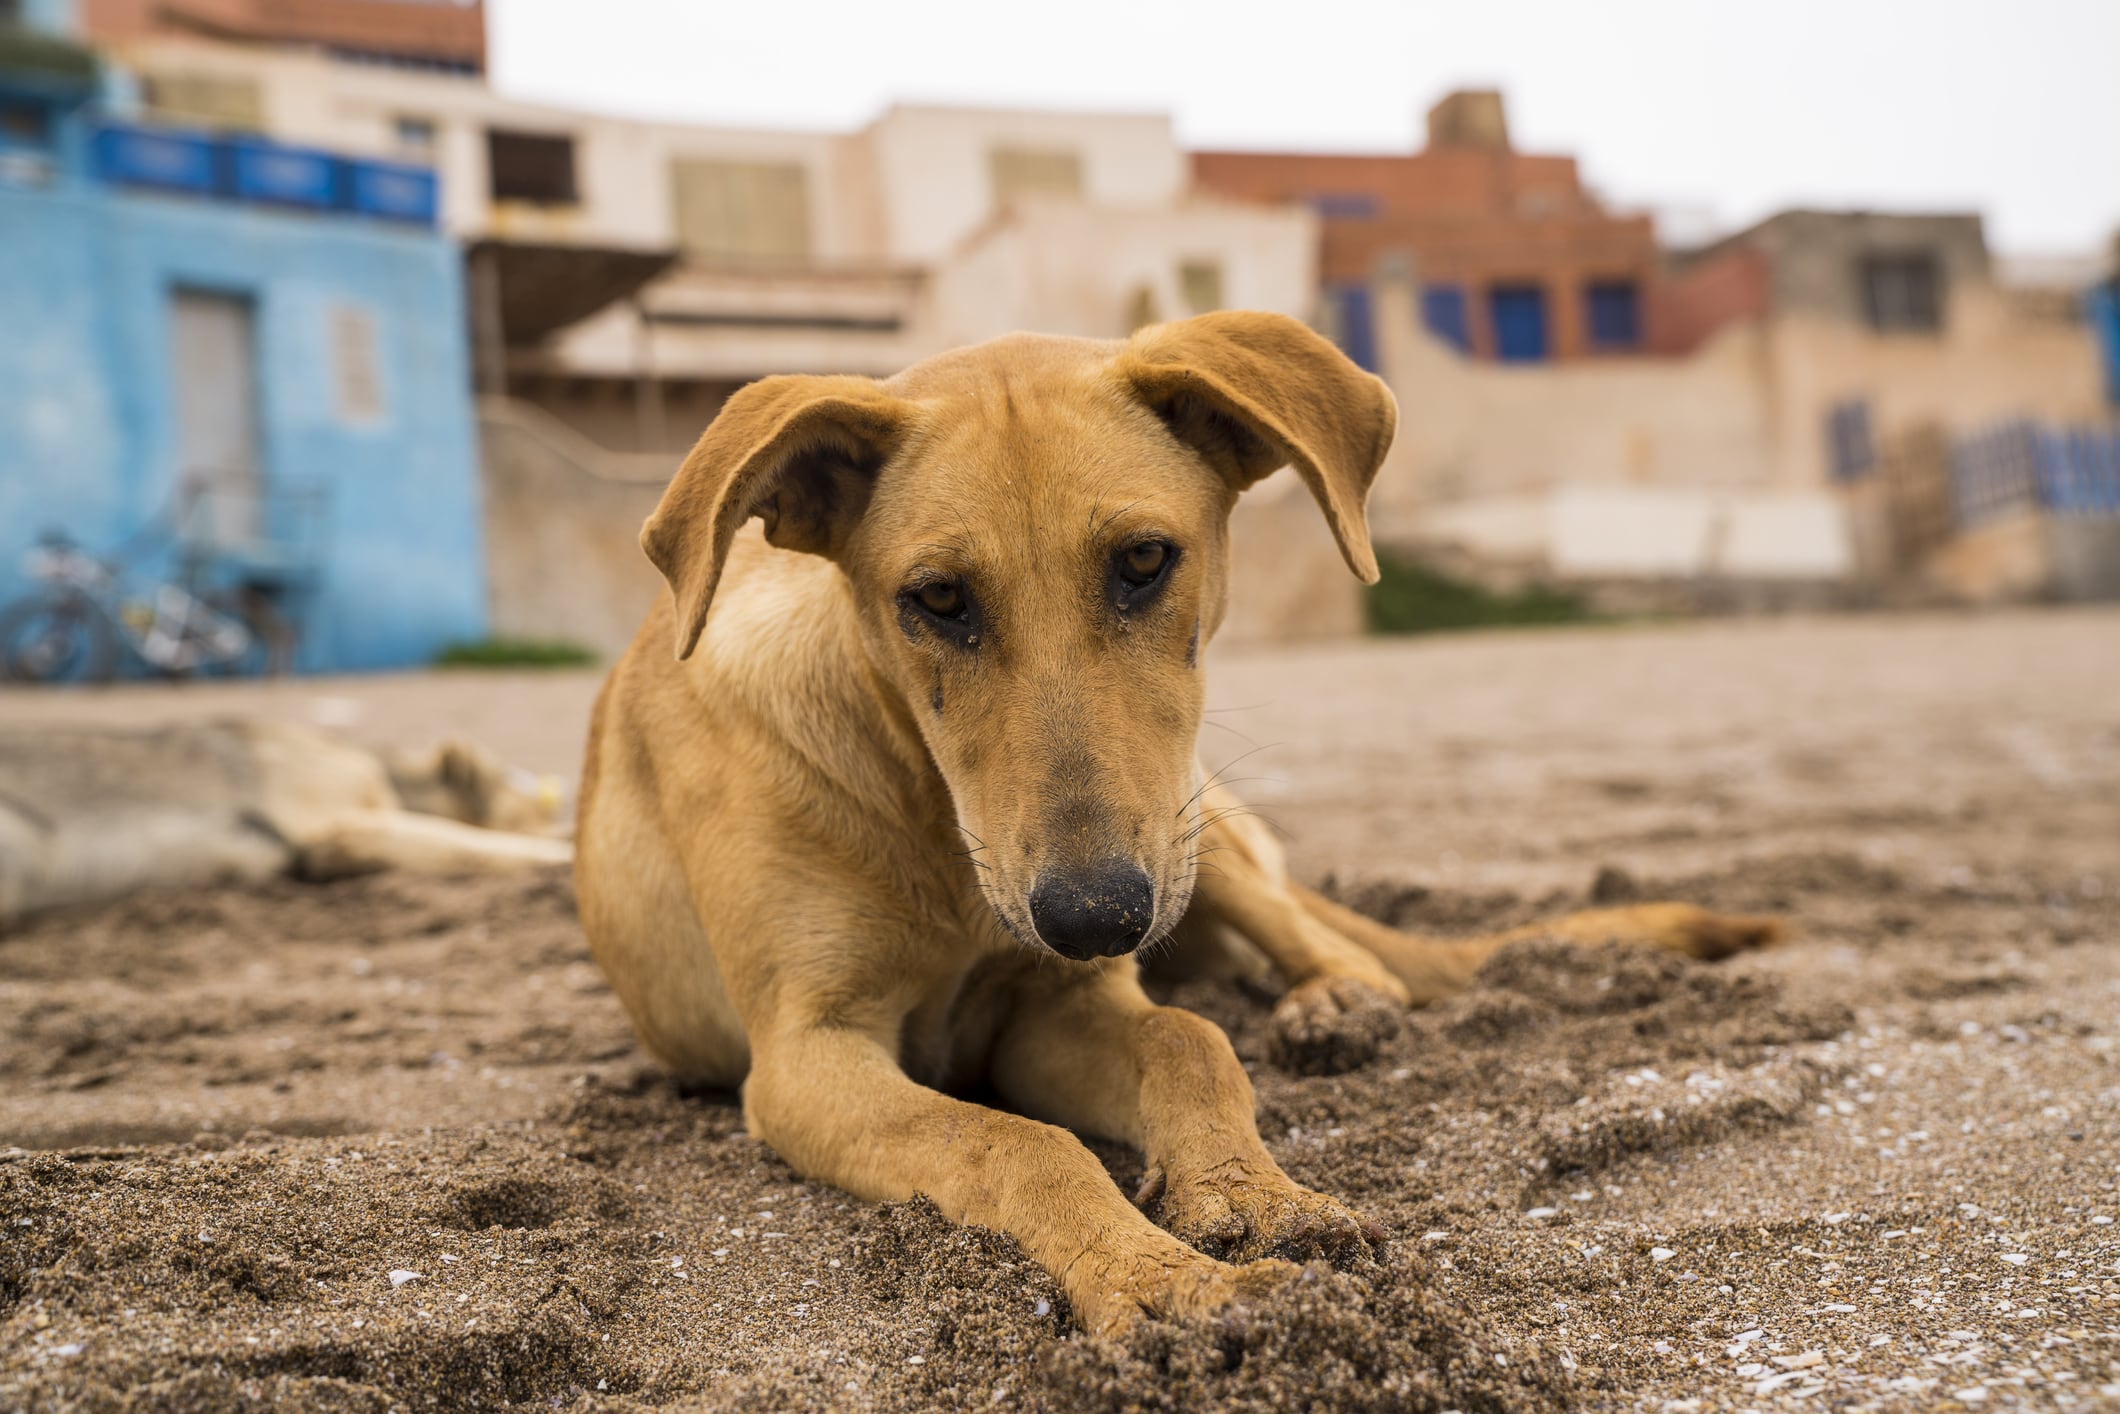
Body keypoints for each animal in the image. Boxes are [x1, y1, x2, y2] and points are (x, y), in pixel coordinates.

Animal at [572, 311, 1780, 1339]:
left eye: (1144, 561)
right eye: (937, 600)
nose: (1094, 917)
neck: (933, 825)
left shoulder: (1057, 997)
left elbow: (1186, 1042)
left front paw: (1249, 1193)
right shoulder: (805, 1055)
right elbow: (1014, 1140)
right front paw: (1158, 1279)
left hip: (1203, 830)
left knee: (1329, 955)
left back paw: (1331, 1005)